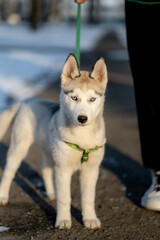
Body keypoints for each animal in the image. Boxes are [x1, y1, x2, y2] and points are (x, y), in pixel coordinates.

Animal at [0, 53, 108, 230]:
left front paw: (90, 219)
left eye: (92, 99)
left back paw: (51, 193)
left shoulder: (91, 170)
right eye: (74, 98)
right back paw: (3, 196)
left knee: (45, 168)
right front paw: (63, 220)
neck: (82, 137)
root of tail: (28, 100)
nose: (82, 118)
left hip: (50, 150)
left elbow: (88, 197)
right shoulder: (63, 169)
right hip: (19, 147)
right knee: (9, 172)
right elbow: (65, 198)